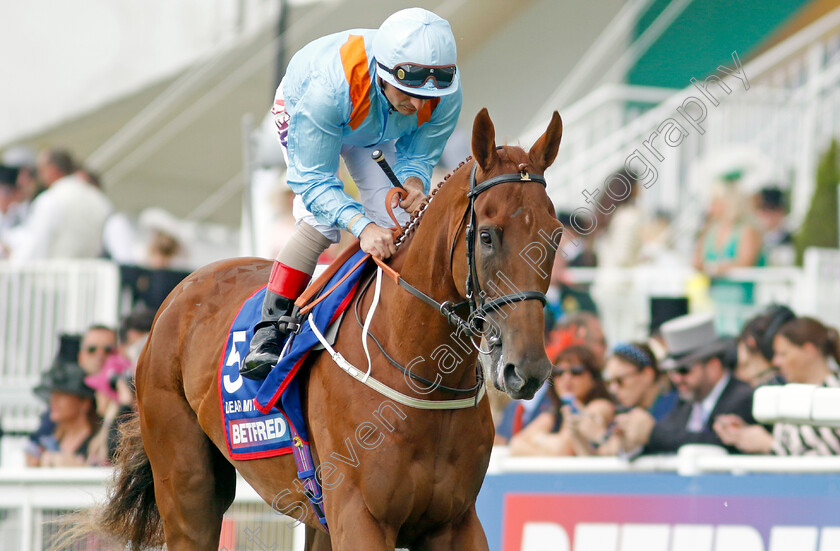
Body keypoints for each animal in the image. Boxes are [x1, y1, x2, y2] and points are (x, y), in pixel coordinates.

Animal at [82, 109, 564, 551]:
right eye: (487, 235)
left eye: (556, 234)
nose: (528, 368)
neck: (424, 379)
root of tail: (184, 287)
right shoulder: (361, 517)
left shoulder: (455, 522)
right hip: (188, 490)